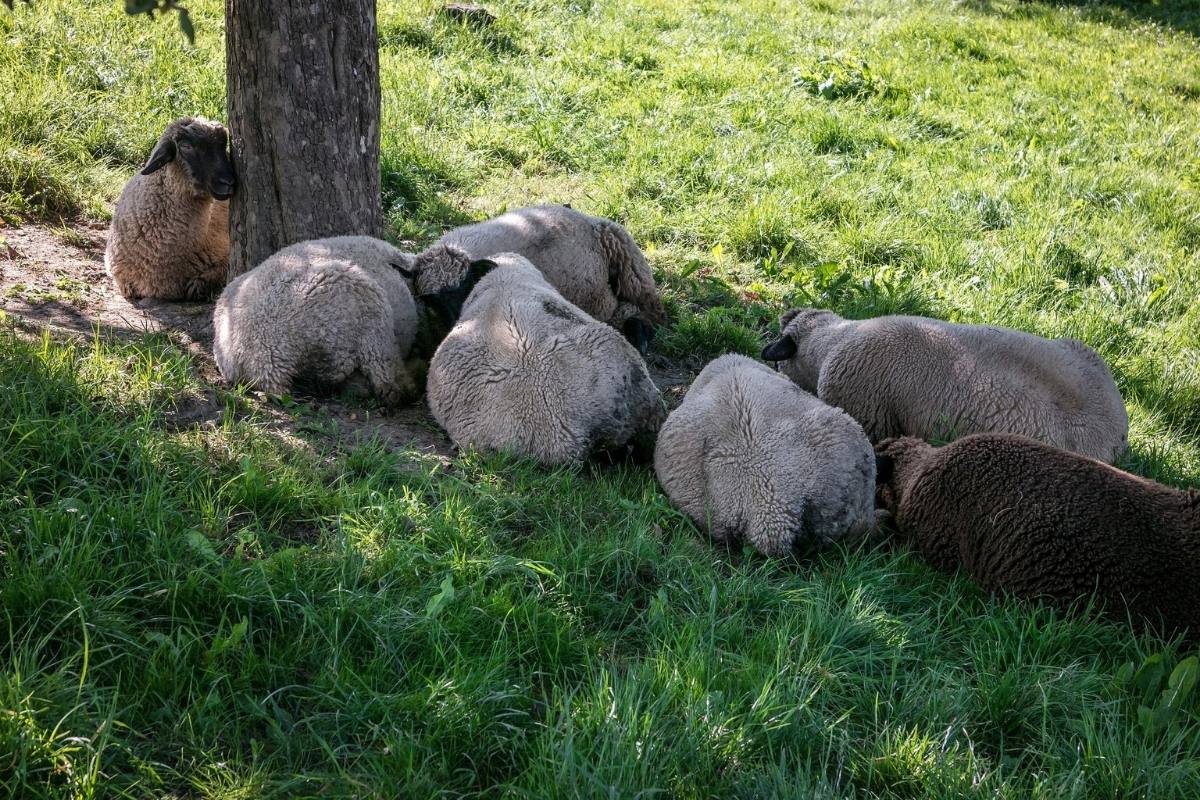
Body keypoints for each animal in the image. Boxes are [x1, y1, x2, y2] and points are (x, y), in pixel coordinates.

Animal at [213, 235, 490, 405]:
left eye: (466, 287)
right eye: (431, 300)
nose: (454, 324)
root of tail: (260, 364)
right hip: (364, 307)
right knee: (391, 386)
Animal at [411, 204, 666, 353]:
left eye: (464, 286)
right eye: (432, 300)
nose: (454, 323)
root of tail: (578, 214)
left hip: (623, 270)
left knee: (649, 310)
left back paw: (641, 334)